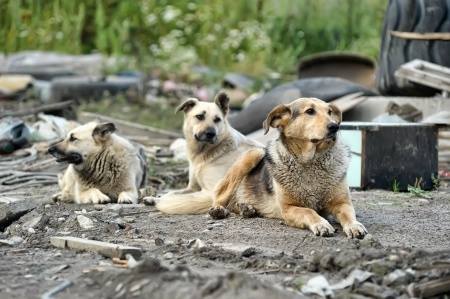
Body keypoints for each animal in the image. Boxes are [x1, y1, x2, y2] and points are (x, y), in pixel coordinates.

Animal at [209, 98, 368, 239]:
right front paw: (321, 224)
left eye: (329, 112)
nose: (335, 126)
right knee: (220, 196)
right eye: (310, 111)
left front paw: (355, 226)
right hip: (254, 153)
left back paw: (247, 209)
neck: (311, 161)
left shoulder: (342, 203)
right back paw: (219, 210)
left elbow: (349, 215)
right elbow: (309, 211)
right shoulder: (288, 208)